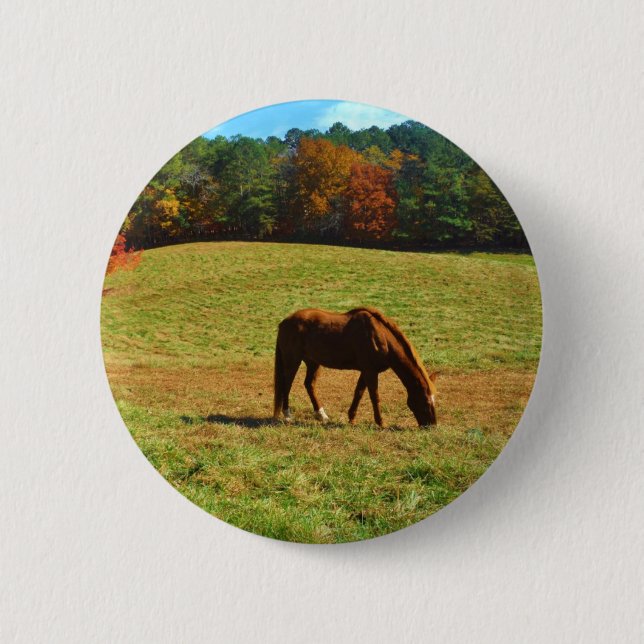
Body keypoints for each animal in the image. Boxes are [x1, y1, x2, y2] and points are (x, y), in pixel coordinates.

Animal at [273, 307, 438, 427]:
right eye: (425, 401)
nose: (432, 426)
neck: (380, 337)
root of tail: (284, 322)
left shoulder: (366, 371)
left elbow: (358, 393)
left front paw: (351, 418)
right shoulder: (370, 372)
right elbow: (374, 396)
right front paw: (380, 422)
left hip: (313, 362)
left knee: (309, 385)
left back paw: (322, 415)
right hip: (292, 361)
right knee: (286, 385)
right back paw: (287, 416)